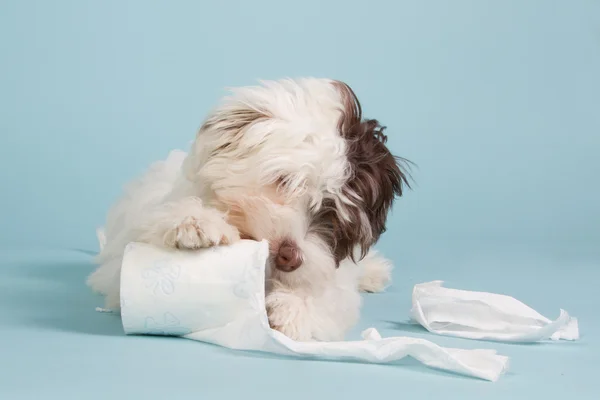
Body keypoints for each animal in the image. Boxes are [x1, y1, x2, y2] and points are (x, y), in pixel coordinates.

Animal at [89, 77, 410, 340]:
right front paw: (194, 220)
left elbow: (332, 296)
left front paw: (292, 308)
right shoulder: (122, 262)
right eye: (285, 180)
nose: (290, 257)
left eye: (333, 216)